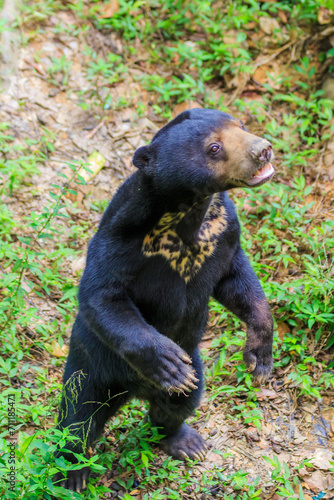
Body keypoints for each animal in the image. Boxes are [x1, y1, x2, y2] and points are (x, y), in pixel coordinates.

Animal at [54, 109, 274, 492]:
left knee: (180, 402)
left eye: (241, 126)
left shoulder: (224, 233)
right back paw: (72, 473)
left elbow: (237, 281)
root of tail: (130, 391)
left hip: (194, 367)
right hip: (90, 364)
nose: (263, 150)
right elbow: (102, 296)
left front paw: (259, 358)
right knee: (77, 417)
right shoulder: (121, 238)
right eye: (213, 148)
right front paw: (169, 364)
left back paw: (185, 441)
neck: (187, 215)